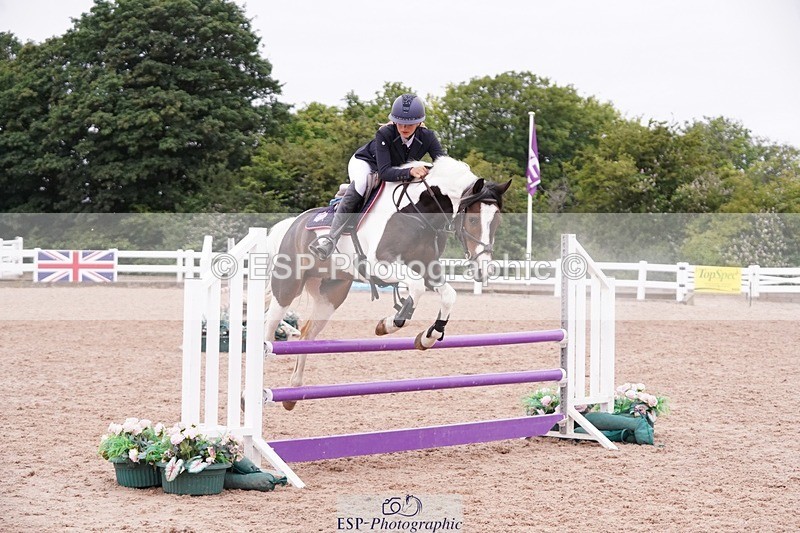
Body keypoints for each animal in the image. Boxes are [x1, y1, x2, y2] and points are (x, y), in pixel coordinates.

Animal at [263, 156, 511, 409]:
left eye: (498, 222)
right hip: (288, 287)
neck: (418, 213)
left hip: (330, 296)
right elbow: (415, 287)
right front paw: (389, 323)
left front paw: (428, 336)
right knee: (268, 329)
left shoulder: (428, 269)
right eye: (472, 219)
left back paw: (293, 393)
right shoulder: (380, 265)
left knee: (306, 335)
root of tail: (293, 224)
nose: (484, 269)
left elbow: (447, 295)